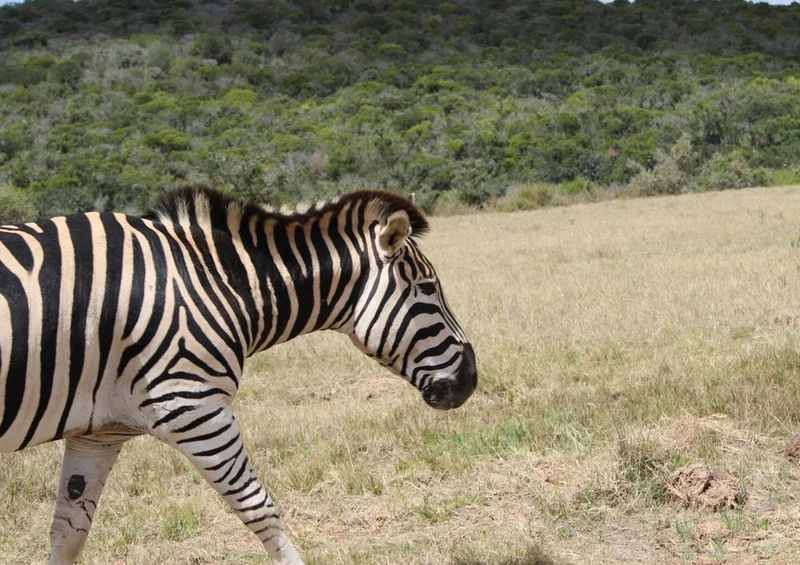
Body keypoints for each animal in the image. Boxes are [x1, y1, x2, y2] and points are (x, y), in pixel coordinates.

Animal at [0, 186, 477, 565]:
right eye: (428, 289)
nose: (471, 379)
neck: (215, 284)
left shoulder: (99, 431)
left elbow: (68, 533)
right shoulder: (194, 407)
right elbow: (260, 509)